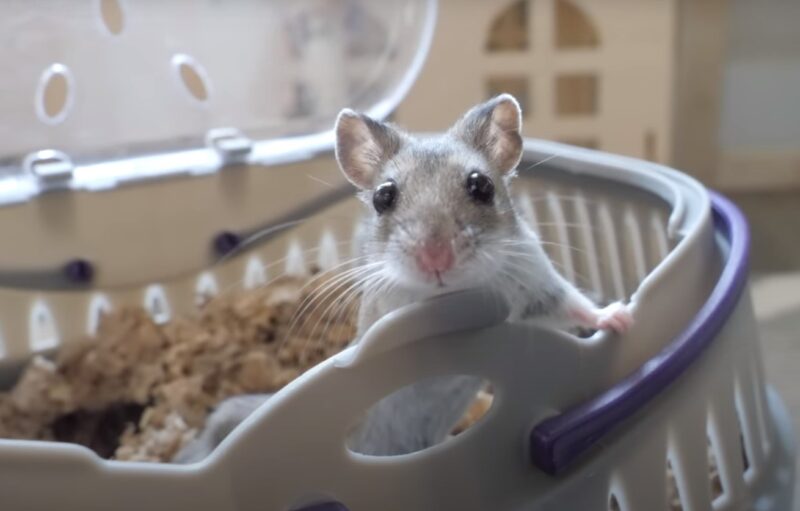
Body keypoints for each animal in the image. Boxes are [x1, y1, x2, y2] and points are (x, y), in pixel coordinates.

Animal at [173, 95, 632, 464]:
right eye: (383, 196)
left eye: (481, 185)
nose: (436, 259)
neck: (454, 293)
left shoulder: (536, 284)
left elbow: (574, 305)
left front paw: (622, 319)